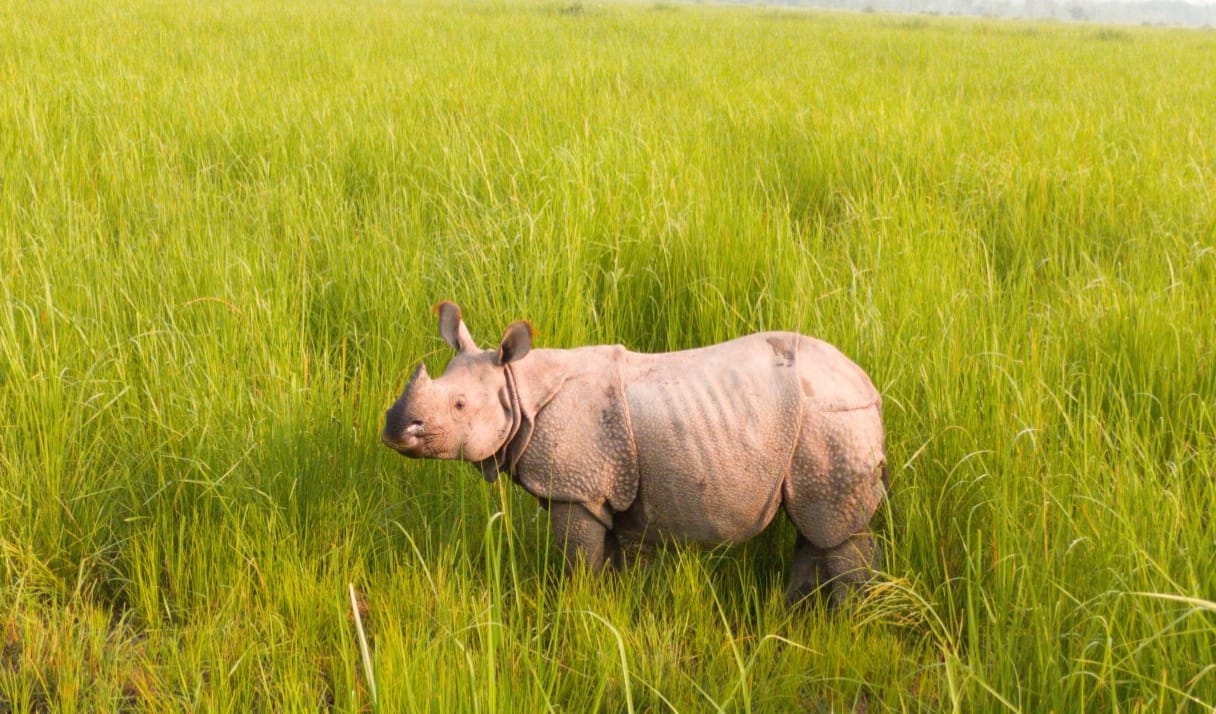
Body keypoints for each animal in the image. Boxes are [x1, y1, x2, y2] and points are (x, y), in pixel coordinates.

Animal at [382, 302, 887, 606]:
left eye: (459, 405)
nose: (393, 429)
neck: (518, 387)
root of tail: (868, 386)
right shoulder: (600, 491)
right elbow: (609, 558)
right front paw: (611, 608)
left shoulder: (576, 490)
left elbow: (579, 562)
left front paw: (577, 610)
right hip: (822, 423)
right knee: (814, 526)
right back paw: (794, 613)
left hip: (831, 420)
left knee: (833, 528)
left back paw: (848, 624)